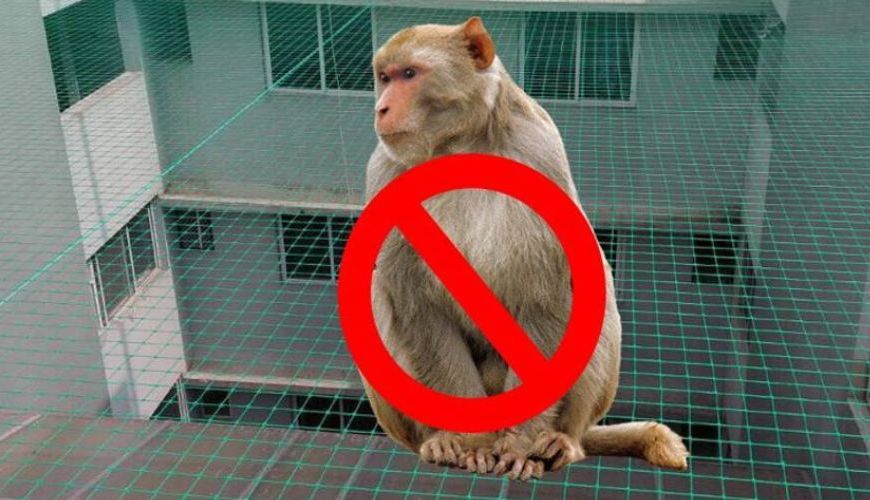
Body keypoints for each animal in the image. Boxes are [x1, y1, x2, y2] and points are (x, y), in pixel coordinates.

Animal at [360, 17, 689, 480]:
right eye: (384, 78)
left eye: (409, 73)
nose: (381, 108)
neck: (459, 147)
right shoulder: (384, 173)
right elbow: (415, 303)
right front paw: (473, 442)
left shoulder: (538, 153)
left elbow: (546, 293)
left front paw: (517, 447)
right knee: (378, 294)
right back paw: (438, 439)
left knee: (593, 291)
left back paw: (559, 442)